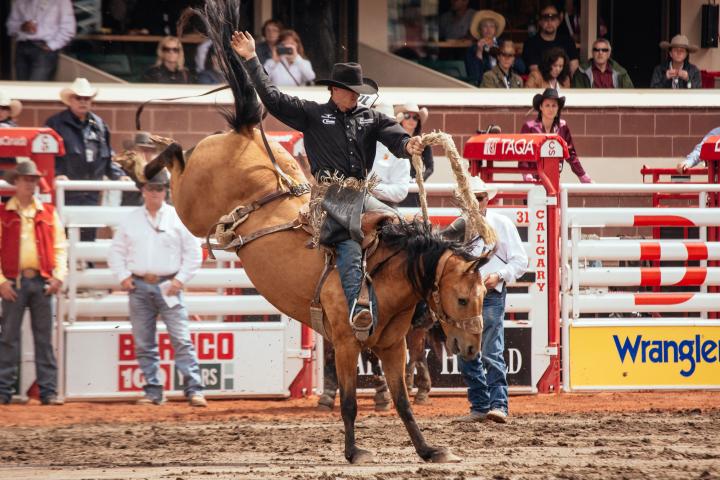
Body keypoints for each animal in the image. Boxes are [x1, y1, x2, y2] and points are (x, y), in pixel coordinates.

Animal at [145, 0, 496, 464]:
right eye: (461, 298)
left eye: (484, 296)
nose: (472, 350)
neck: (386, 275)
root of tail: (247, 132)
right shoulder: (347, 342)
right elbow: (348, 401)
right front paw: (354, 452)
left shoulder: (393, 347)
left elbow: (402, 402)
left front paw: (428, 450)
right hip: (190, 202)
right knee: (175, 156)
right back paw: (142, 155)